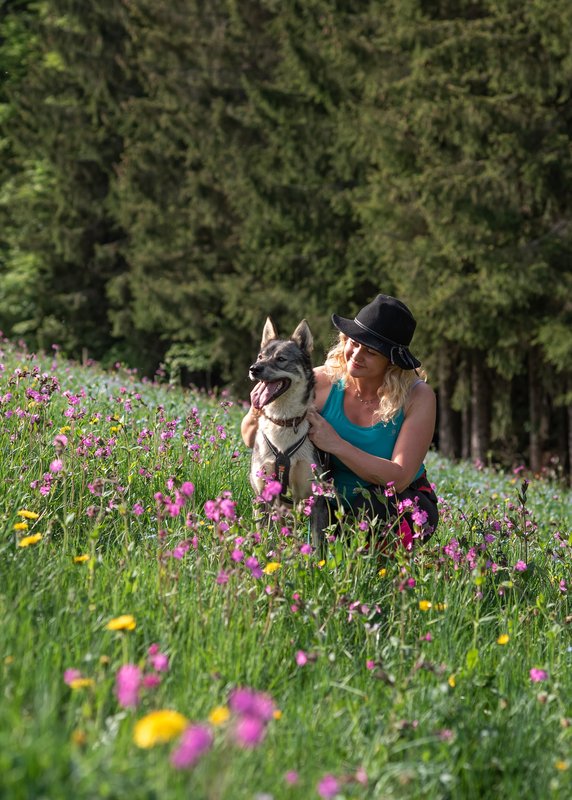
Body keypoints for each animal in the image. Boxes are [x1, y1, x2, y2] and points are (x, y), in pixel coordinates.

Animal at [248, 318, 328, 552]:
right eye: (260, 356)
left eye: (281, 359)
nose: (253, 369)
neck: (282, 423)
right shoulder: (262, 496)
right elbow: (264, 539)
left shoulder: (313, 499)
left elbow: (316, 544)